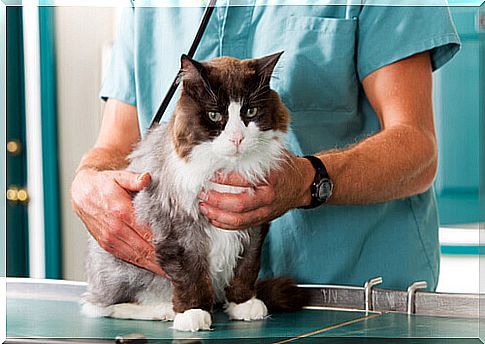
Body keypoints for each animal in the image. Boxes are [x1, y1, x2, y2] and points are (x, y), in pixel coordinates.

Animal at [82, 52, 302, 332]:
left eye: (250, 111)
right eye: (214, 115)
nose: (237, 139)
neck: (226, 168)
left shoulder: (253, 224)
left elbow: (246, 267)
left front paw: (243, 303)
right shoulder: (179, 230)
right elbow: (191, 275)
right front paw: (193, 313)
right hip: (122, 271)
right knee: (101, 306)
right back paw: (162, 310)